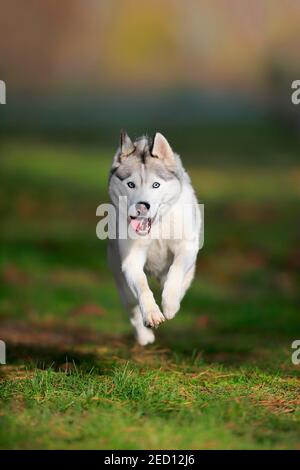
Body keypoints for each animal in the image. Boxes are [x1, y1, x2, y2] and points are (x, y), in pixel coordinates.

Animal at [108, 132, 202, 346]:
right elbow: (142, 286)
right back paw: (144, 337)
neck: (156, 226)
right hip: (121, 280)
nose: (142, 206)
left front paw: (170, 303)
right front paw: (152, 314)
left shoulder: (186, 246)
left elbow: (176, 271)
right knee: (132, 308)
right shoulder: (131, 260)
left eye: (156, 185)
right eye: (131, 184)